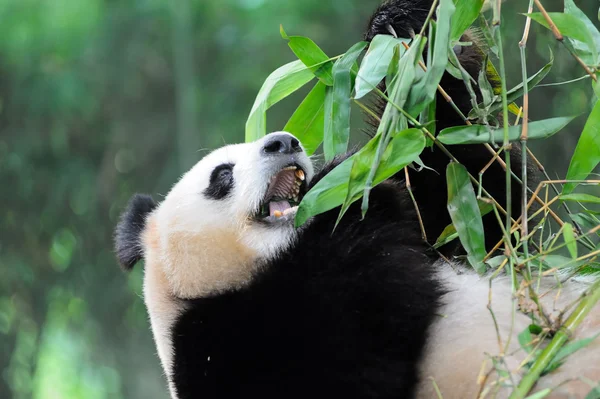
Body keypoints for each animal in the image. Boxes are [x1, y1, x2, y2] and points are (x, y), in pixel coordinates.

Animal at [113, 0, 600, 399]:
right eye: (222, 175)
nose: (284, 141)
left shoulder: (445, 235)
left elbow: (477, 193)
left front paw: (407, 32)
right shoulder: (225, 344)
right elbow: (350, 357)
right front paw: (349, 220)